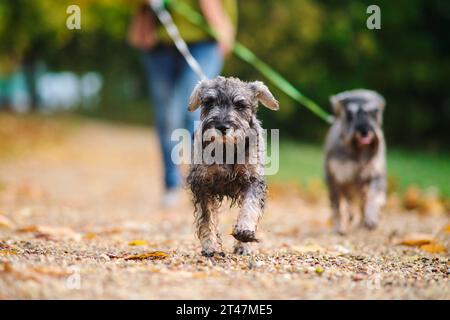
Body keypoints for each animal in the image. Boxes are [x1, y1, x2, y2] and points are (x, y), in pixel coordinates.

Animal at [185, 76, 278, 256]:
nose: (222, 127)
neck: (226, 149)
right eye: (209, 102)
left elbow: (250, 207)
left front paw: (244, 231)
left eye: (240, 105)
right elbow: (207, 218)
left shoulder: (253, 181)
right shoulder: (202, 184)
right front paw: (210, 246)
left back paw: (243, 247)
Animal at [326, 89, 384, 234]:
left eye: (374, 112)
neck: (358, 151)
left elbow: (372, 197)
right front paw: (339, 226)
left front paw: (371, 218)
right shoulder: (336, 178)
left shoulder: (374, 174)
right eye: (350, 114)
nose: (364, 131)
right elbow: (338, 205)